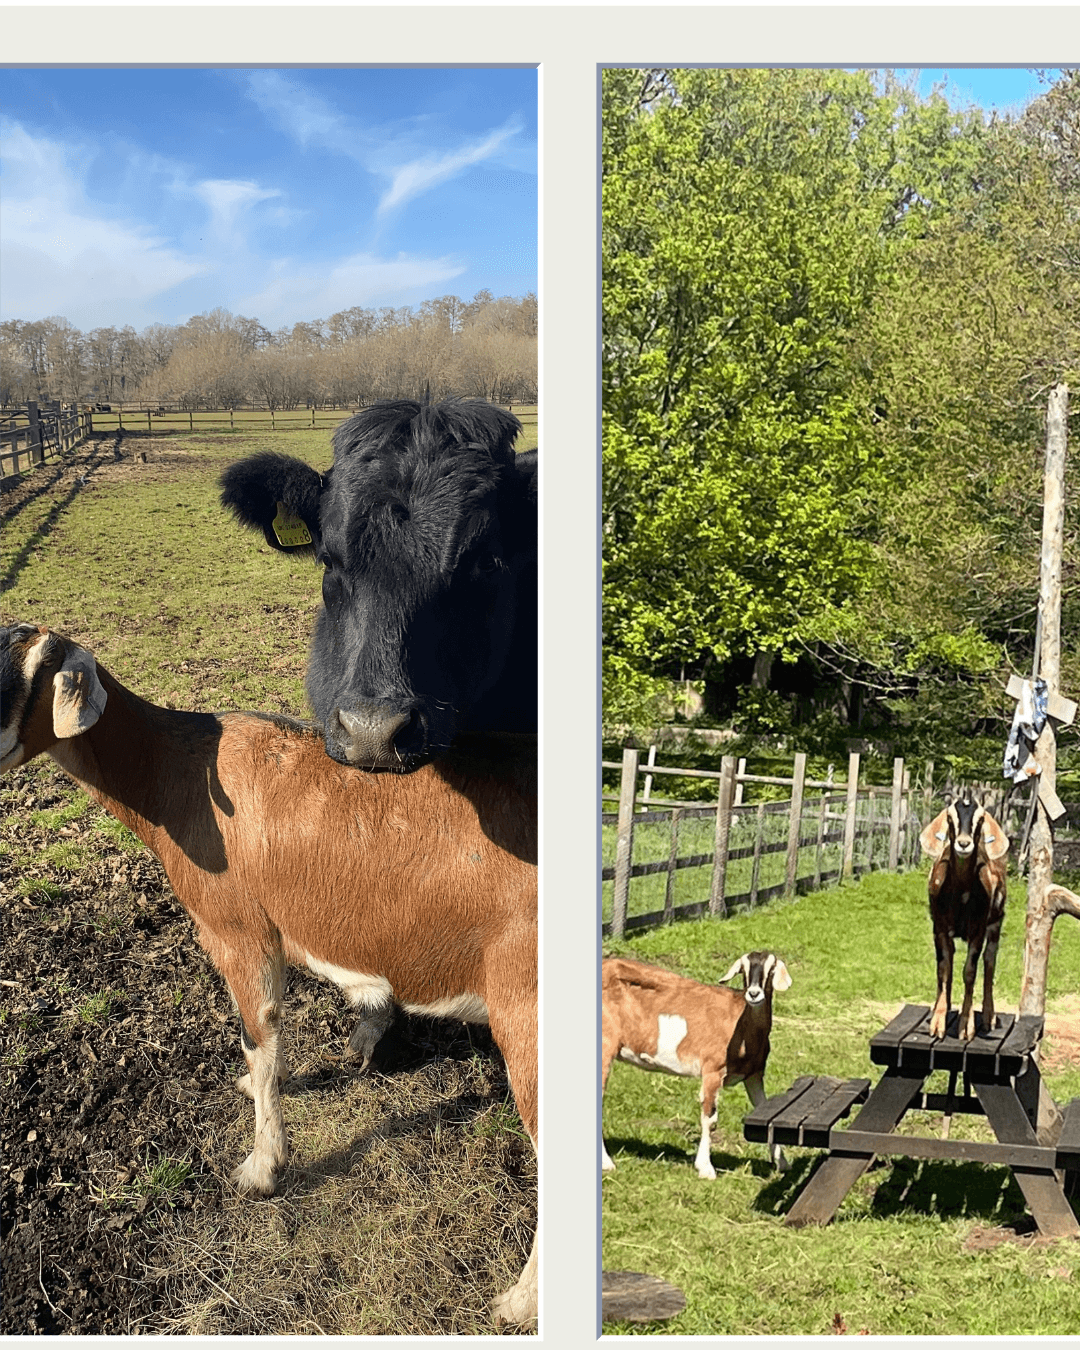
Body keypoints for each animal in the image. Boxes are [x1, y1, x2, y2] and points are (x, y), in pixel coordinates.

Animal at [0, 623, 537, 1326]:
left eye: (17, 675)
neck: (174, 773)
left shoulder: (240, 932)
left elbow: (260, 1040)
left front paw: (261, 1168)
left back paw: (518, 1304)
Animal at [601, 951, 791, 1178]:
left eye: (770, 970)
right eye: (743, 970)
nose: (753, 994)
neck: (741, 1024)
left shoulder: (754, 1075)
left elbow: (766, 1110)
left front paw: (782, 1163)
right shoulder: (712, 1070)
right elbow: (710, 1118)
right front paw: (705, 1168)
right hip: (605, 1046)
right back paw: (606, 1163)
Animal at [919, 792, 1008, 1042]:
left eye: (980, 820)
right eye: (950, 818)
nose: (964, 843)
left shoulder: (977, 931)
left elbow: (969, 972)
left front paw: (965, 1027)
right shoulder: (939, 928)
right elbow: (943, 969)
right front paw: (938, 1022)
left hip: (996, 923)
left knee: (989, 962)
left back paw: (988, 1017)